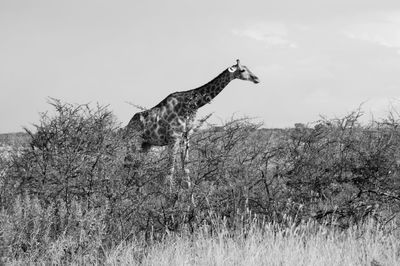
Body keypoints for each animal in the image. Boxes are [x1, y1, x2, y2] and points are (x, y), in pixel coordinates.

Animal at [125, 59, 260, 186]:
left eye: (247, 67)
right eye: (242, 70)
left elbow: (186, 169)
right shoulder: (174, 138)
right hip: (134, 142)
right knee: (127, 163)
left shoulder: (186, 138)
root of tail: (128, 126)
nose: (257, 78)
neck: (191, 105)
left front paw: (188, 194)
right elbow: (170, 169)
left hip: (146, 144)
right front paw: (167, 193)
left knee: (136, 165)